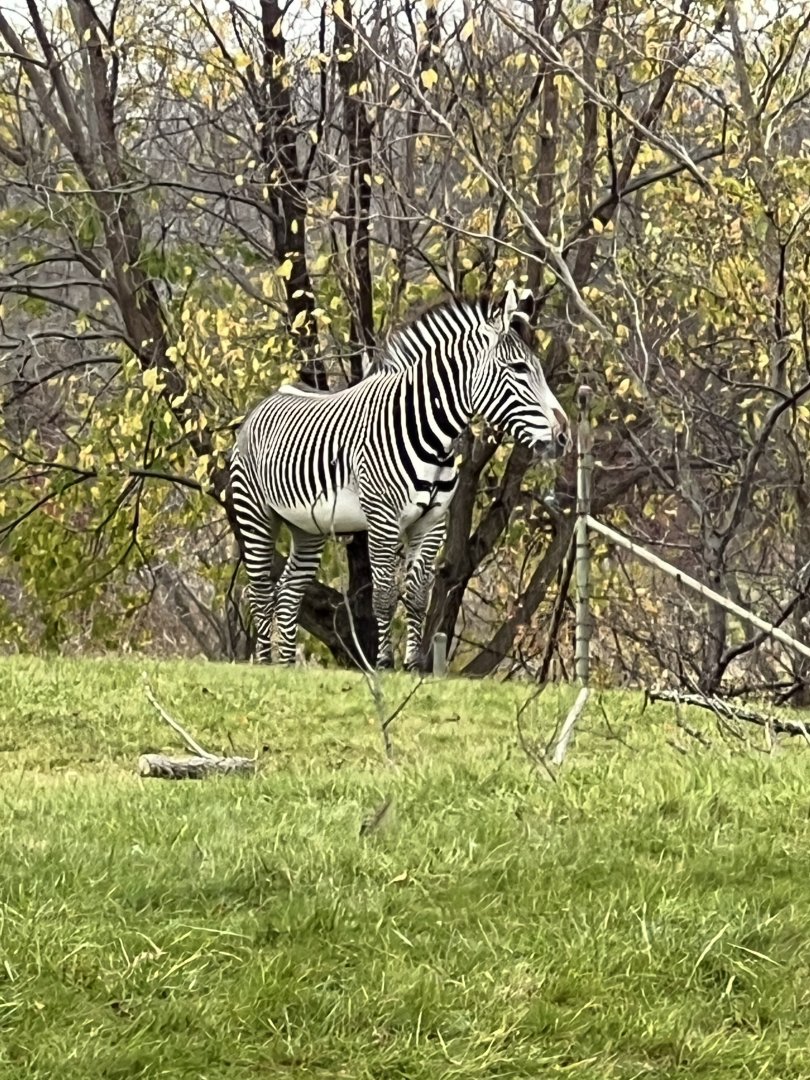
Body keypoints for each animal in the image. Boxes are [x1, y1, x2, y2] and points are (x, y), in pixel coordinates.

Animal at [229, 286, 571, 670]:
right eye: (519, 368)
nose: (563, 436)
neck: (431, 435)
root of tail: (268, 399)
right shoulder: (382, 518)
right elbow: (384, 594)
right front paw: (384, 664)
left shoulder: (433, 522)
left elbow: (418, 594)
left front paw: (414, 665)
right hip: (255, 512)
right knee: (260, 591)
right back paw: (265, 664)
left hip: (307, 527)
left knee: (288, 591)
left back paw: (286, 667)